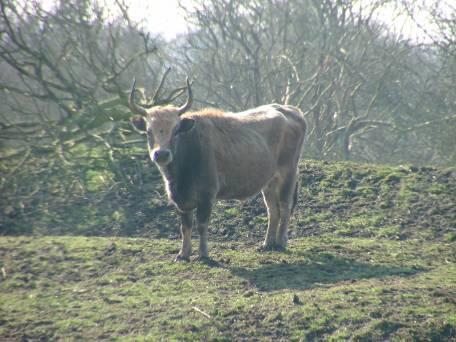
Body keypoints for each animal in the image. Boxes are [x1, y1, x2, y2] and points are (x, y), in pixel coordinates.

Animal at [128, 74, 306, 262]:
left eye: (176, 130)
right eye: (149, 131)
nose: (161, 154)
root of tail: (288, 109)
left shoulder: (207, 195)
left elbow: (201, 225)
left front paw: (204, 255)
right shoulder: (182, 201)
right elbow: (185, 227)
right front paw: (183, 254)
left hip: (288, 173)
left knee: (285, 205)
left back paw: (280, 242)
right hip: (269, 180)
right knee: (272, 209)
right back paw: (267, 243)